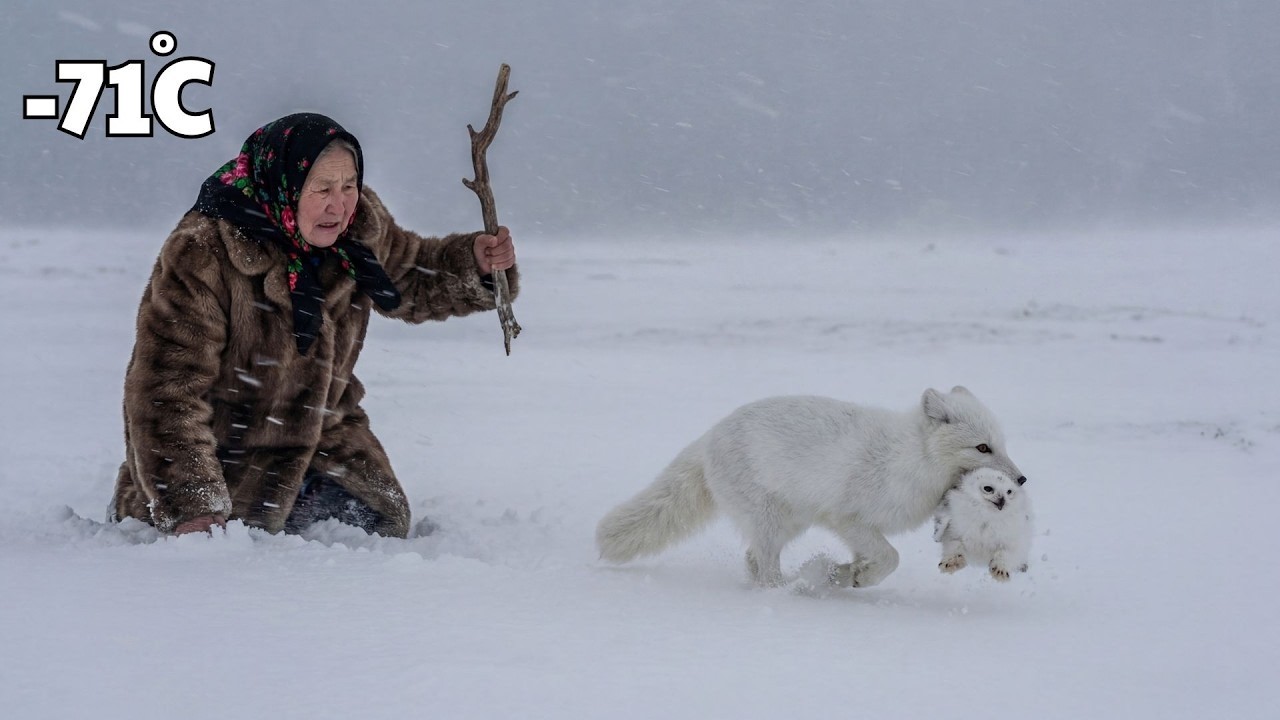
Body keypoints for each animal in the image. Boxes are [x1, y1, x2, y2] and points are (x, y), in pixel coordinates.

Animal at [596, 386, 1026, 588]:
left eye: (1002, 444)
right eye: (982, 447)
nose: (1022, 480)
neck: (911, 459)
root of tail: (708, 437)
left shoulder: (856, 529)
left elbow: (875, 561)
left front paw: (846, 575)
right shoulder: (849, 519)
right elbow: (891, 558)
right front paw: (854, 577)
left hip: (790, 522)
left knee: (752, 560)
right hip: (771, 521)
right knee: (765, 570)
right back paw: (789, 590)